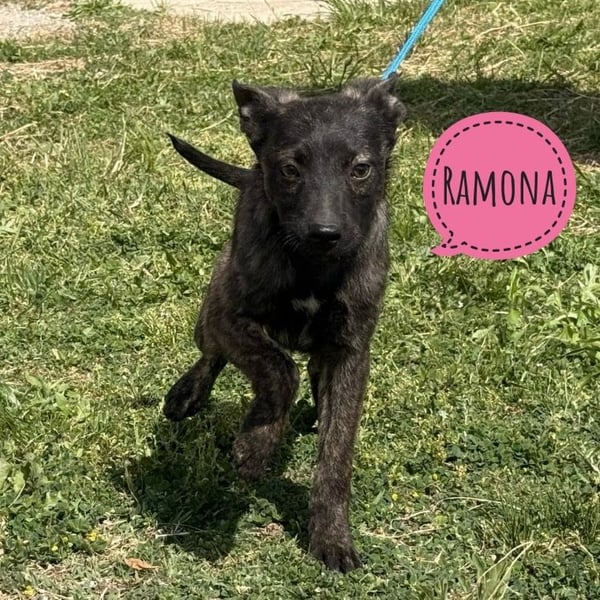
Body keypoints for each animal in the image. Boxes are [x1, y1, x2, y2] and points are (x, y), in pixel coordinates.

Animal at [164, 76, 405, 572]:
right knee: (210, 354)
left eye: (361, 169)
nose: (325, 233)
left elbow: (337, 450)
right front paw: (257, 445)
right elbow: (278, 369)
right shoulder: (231, 316)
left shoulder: (352, 350)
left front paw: (331, 534)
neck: (313, 267)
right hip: (211, 303)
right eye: (290, 169)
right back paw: (187, 393)